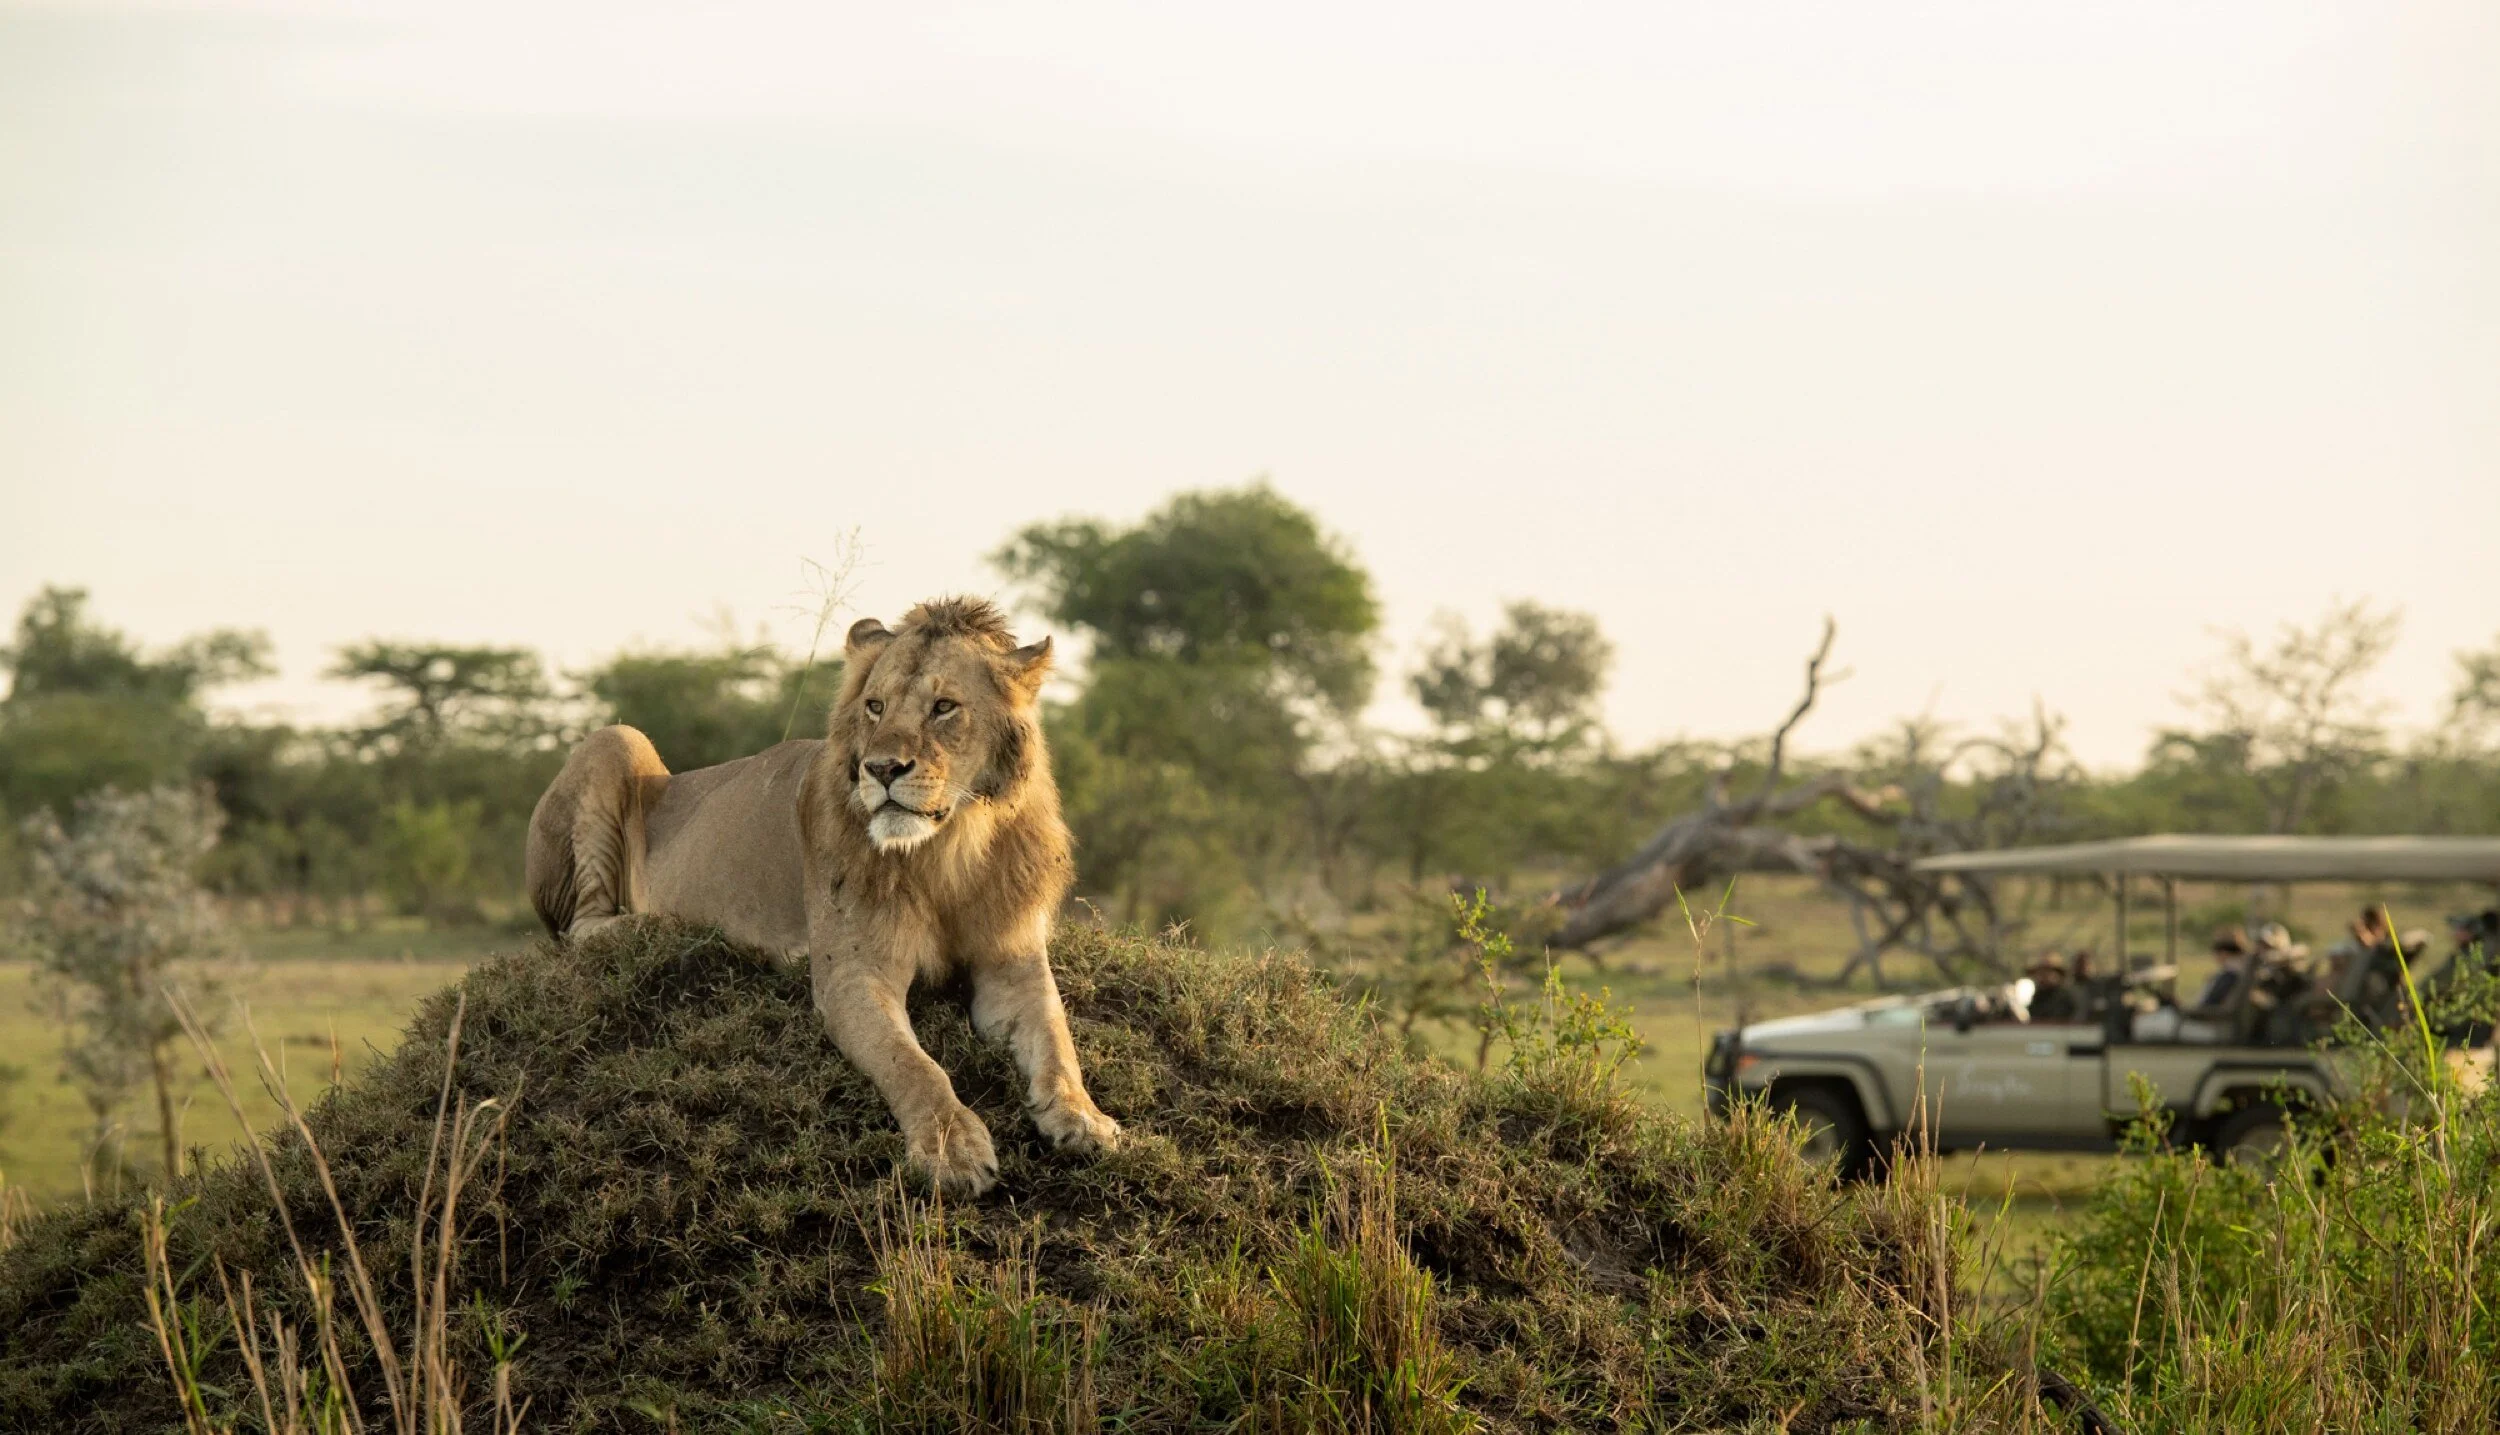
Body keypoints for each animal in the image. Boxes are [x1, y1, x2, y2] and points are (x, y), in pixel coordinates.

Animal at [524, 596, 1119, 1195]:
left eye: (944, 707)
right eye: (876, 706)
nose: (881, 769)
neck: (948, 852)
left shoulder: (1012, 966)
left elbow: (1057, 1040)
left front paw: (1084, 1118)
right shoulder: (853, 976)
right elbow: (911, 1065)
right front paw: (953, 1148)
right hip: (616, 740)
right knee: (582, 927)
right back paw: (676, 927)